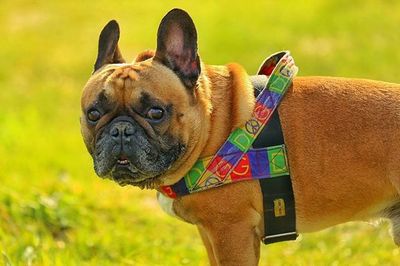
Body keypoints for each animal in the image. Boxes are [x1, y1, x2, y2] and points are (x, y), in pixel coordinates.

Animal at [81, 8, 400, 266]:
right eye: (93, 113)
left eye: (156, 112)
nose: (121, 130)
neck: (213, 124)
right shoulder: (210, 233)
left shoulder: (231, 231)